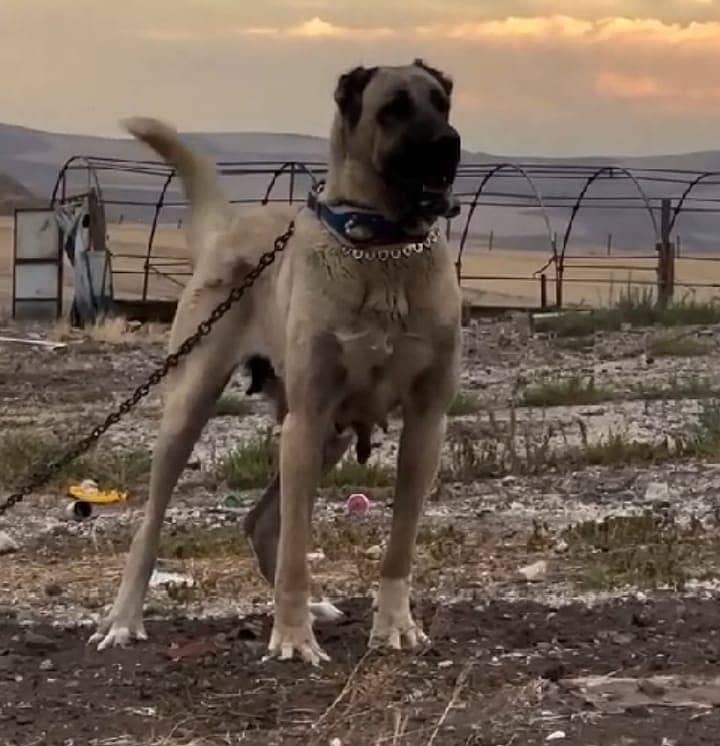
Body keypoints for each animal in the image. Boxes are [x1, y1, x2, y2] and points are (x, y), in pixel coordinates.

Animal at [91, 59, 462, 664]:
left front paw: (394, 625)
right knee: (153, 526)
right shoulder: (307, 419)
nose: (449, 144)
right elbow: (295, 550)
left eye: (441, 102)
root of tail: (228, 229)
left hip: (330, 434)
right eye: (394, 108)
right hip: (193, 409)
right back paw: (125, 619)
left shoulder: (426, 424)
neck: (382, 250)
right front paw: (291, 637)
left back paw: (316, 607)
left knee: (260, 522)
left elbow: (399, 548)